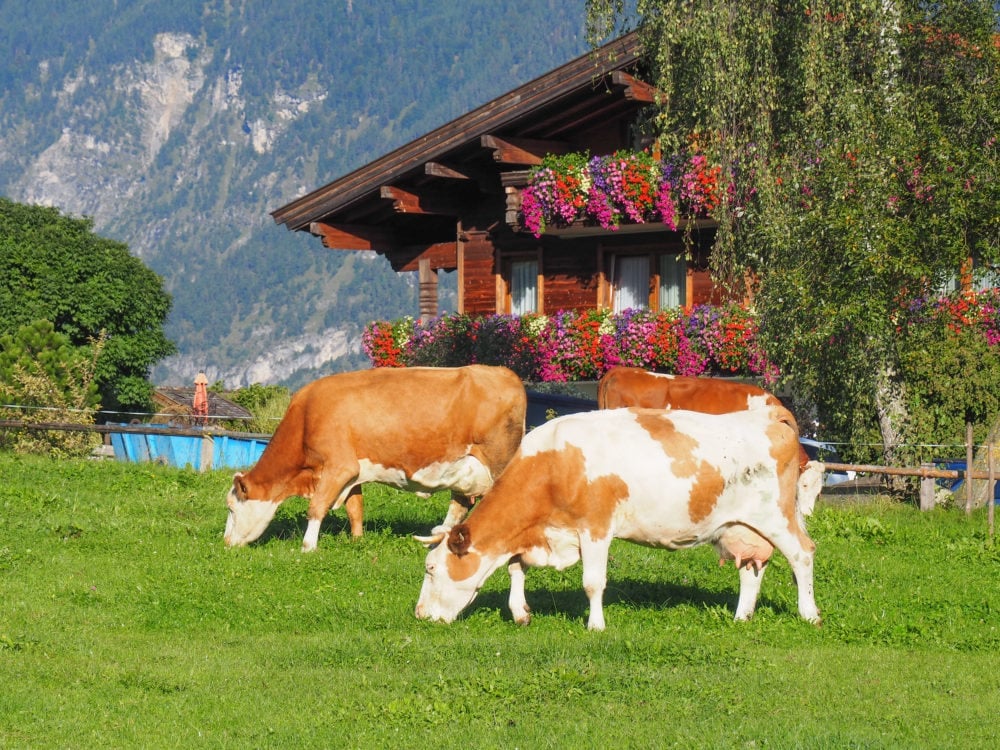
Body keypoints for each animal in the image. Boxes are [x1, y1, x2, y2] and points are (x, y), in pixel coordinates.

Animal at [224, 368, 528, 552]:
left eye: (231, 507)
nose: (225, 542)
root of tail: (505, 373)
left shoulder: (338, 466)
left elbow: (317, 507)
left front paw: (308, 547)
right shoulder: (354, 471)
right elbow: (355, 508)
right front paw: (357, 540)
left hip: (497, 462)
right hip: (466, 468)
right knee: (460, 503)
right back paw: (437, 536)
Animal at [414, 406, 820, 628]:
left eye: (431, 569)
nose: (419, 614)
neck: (554, 464)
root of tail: (770, 417)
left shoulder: (595, 526)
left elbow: (593, 582)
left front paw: (596, 625)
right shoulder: (539, 532)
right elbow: (516, 567)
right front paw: (520, 612)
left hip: (777, 518)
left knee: (802, 555)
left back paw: (809, 613)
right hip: (743, 527)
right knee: (752, 568)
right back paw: (741, 617)